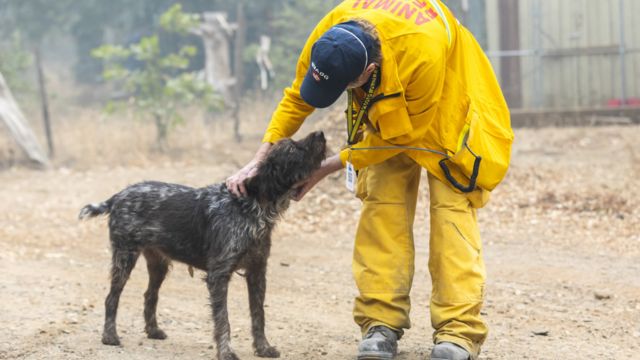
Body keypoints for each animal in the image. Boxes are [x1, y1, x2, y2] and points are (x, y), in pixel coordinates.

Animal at [80, 131, 328, 360]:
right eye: (292, 148)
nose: (321, 134)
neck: (251, 205)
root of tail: (118, 196)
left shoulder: (257, 271)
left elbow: (259, 315)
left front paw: (263, 348)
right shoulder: (219, 275)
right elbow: (223, 319)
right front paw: (226, 351)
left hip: (158, 265)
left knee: (149, 295)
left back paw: (153, 330)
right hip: (125, 257)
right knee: (111, 298)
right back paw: (109, 336)